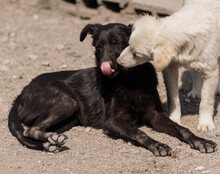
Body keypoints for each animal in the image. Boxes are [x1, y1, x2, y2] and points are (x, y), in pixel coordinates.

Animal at [8, 23, 217, 156]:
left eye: (119, 43)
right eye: (99, 46)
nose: (105, 65)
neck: (129, 81)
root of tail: (21, 93)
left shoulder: (155, 115)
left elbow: (182, 129)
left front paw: (201, 141)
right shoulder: (113, 122)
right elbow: (139, 133)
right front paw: (156, 144)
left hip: (69, 118)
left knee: (32, 131)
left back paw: (51, 141)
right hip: (67, 101)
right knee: (30, 130)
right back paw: (52, 139)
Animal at [117, 0, 220, 131]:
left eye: (136, 54)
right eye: (128, 44)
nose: (118, 61)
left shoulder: (210, 71)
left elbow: (206, 101)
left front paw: (205, 123)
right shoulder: (170, 69)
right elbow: (173, 98)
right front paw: (173, 119)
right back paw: (196, 91)